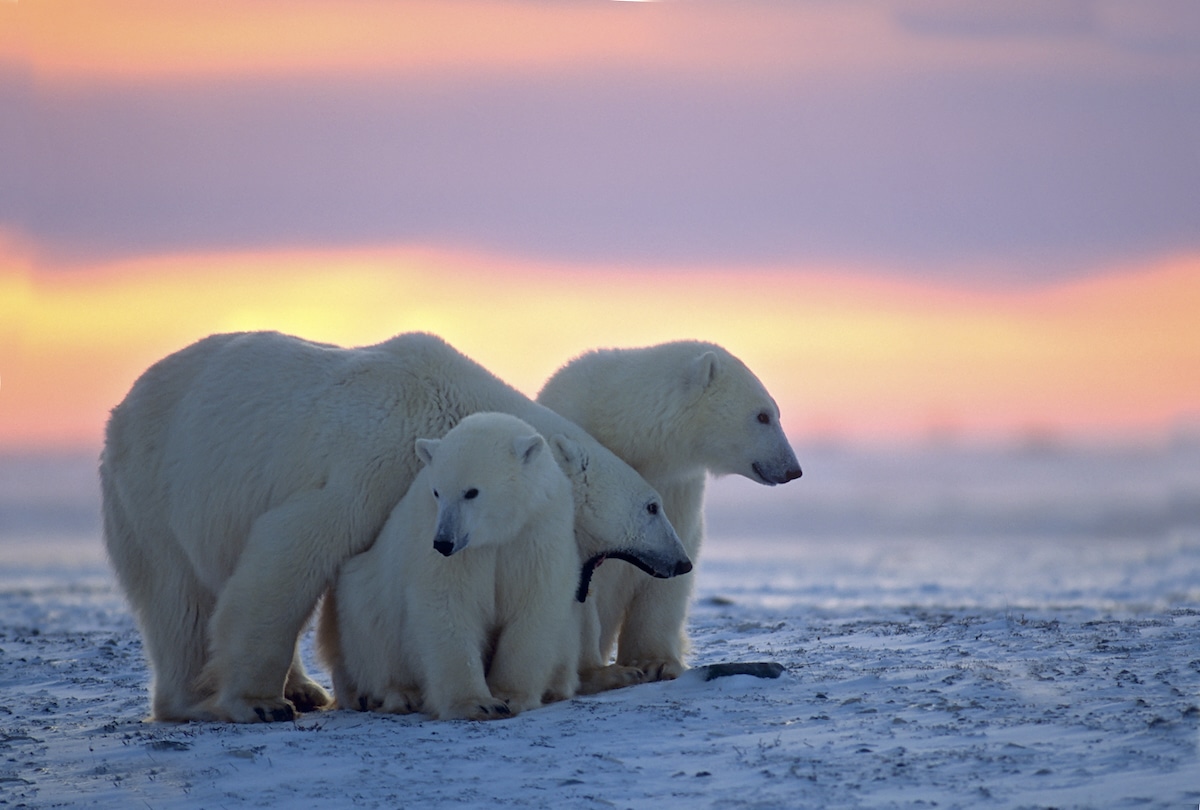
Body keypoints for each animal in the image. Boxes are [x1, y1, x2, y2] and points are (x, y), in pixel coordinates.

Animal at [319, 415, 580, 720]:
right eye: (437, 492)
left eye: (471, 492)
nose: (444, 542)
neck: (496, 535)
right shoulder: (442, 543)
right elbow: (448, 603)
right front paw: (479, 703)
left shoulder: (535, 533)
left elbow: (534, 603)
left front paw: (509, 695)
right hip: (363, 597)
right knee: (373, 641)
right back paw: (399, 695)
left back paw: (557, 687)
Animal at [540, 343, 801, 686]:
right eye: (762, 415)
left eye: (775, 413)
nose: (793, 469)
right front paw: (601, 673)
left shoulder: (677, 487)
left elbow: (672, 559)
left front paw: (655, 663)